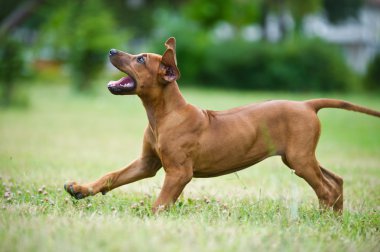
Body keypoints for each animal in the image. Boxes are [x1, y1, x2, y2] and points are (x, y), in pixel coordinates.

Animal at [63, 36, 378, 212]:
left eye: (140, 59)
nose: (111, 50)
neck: (163, 114)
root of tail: (306, 104)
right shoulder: (147, 163)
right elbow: (112, 176)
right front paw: (81, 189)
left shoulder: (179, 173)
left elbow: (160, 203)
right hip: (298, 156)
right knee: (335, 181)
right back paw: (335, 218)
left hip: (299, 159)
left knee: (326, 188)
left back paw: (324, 219)